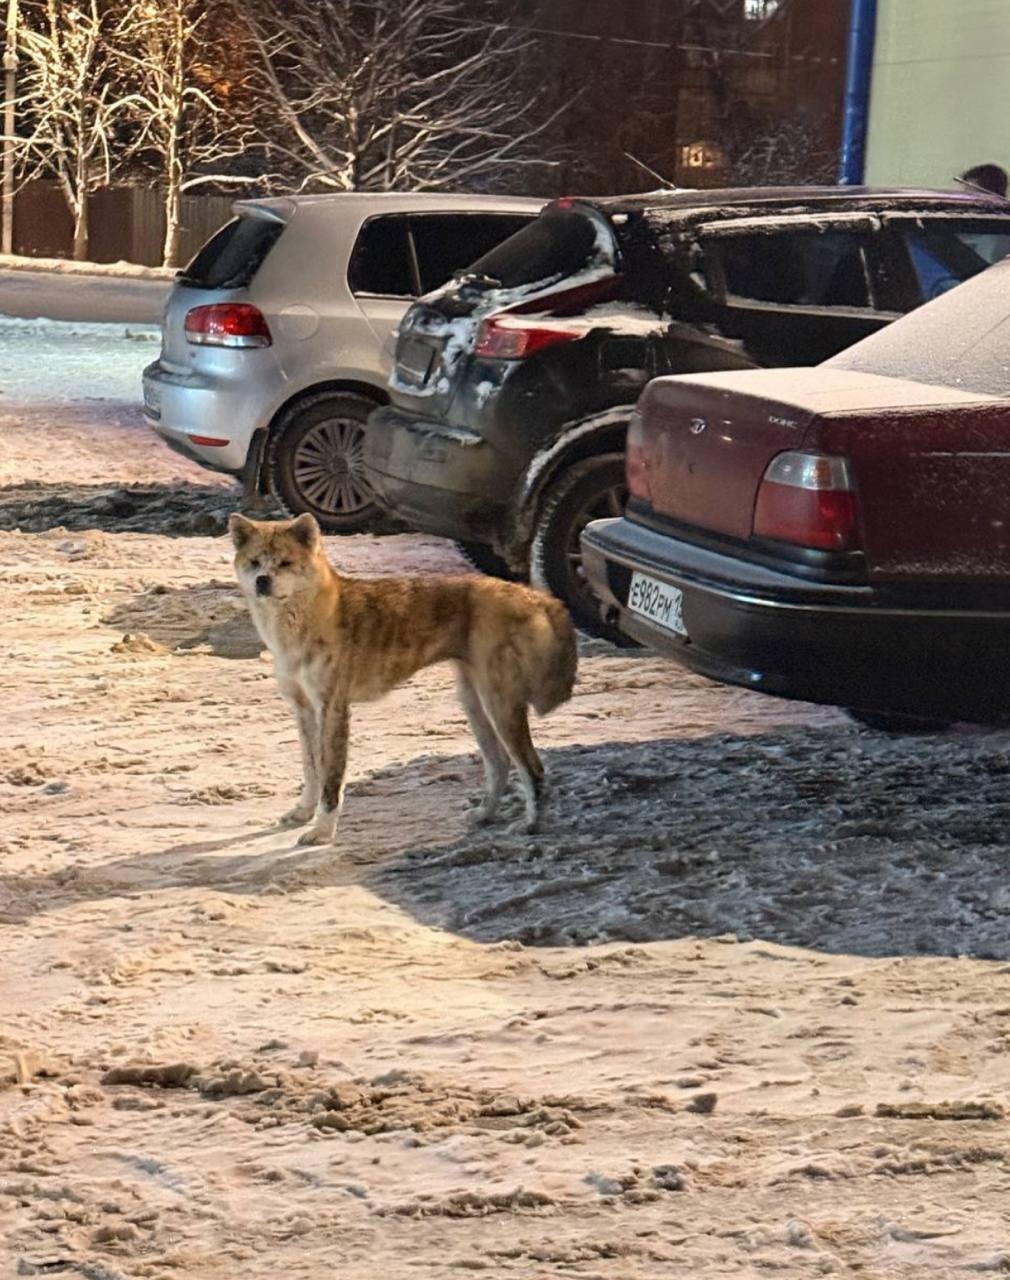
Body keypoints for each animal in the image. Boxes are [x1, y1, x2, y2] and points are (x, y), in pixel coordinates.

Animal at [229, 513, 577, 846]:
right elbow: (311, 769)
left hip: (499, 705)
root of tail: (533, 595)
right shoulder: (303, 711)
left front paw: (322, 831)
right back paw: (484, 815)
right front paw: (303, 813)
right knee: (500, 765)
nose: (262, 581)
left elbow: (331, 780)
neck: (305, 622)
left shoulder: (332, 710)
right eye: (255, 563)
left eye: (285, 563)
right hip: (475, 704)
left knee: (532, 768)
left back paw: (531, 826)